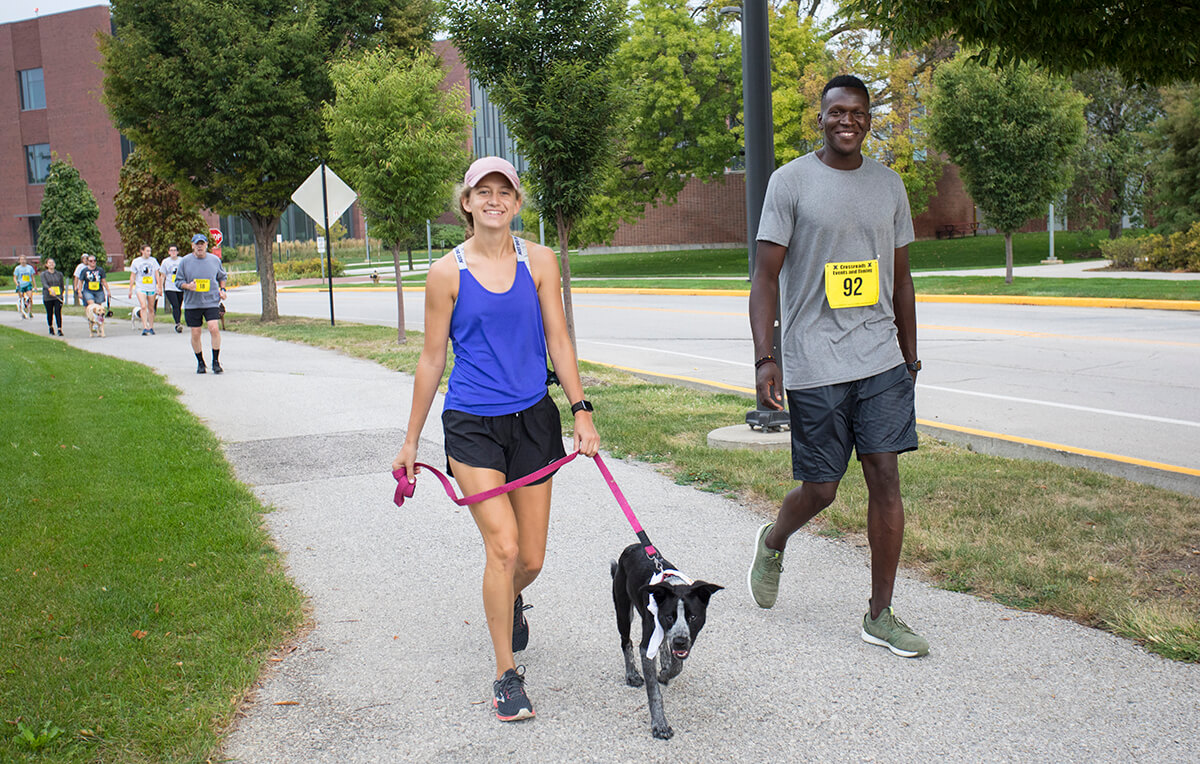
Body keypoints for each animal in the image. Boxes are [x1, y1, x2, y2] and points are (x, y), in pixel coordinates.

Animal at [609, 542, 720, 738]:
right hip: (623, 612)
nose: (680, 642)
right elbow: (654, 691)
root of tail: (633, 546)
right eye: (669, 616)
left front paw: (666, 672)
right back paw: (632, 675)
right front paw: (660, 724)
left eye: (693, 617)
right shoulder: (647, 646)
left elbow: (677, 666)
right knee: (626, 642)